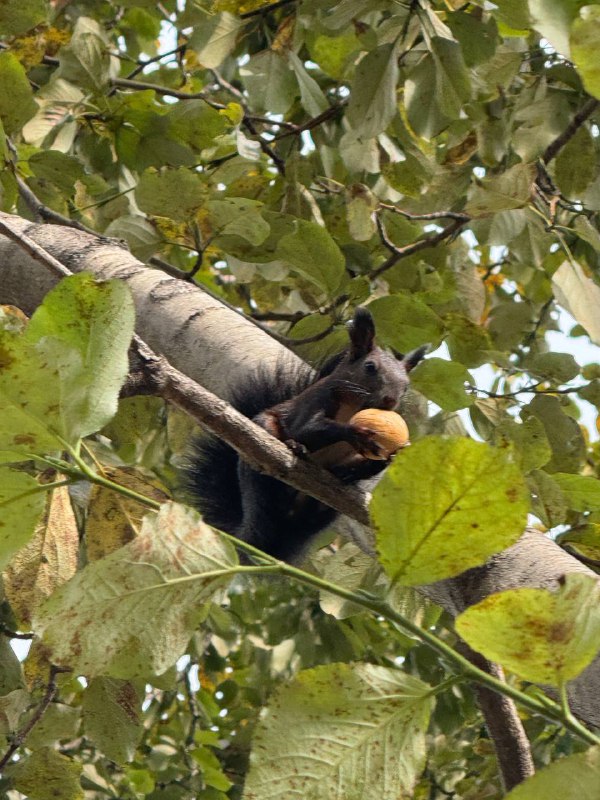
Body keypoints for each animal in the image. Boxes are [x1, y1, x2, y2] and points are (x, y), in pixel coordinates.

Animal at [183, 306, 426, 564]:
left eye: (406, 385)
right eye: (370, 367)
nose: (391, 400)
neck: (355, 406)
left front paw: (398, 451)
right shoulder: (315, 400)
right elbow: (306, 429)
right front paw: (356, 432)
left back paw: (342, 476)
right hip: (260, 452)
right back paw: (293, 449)